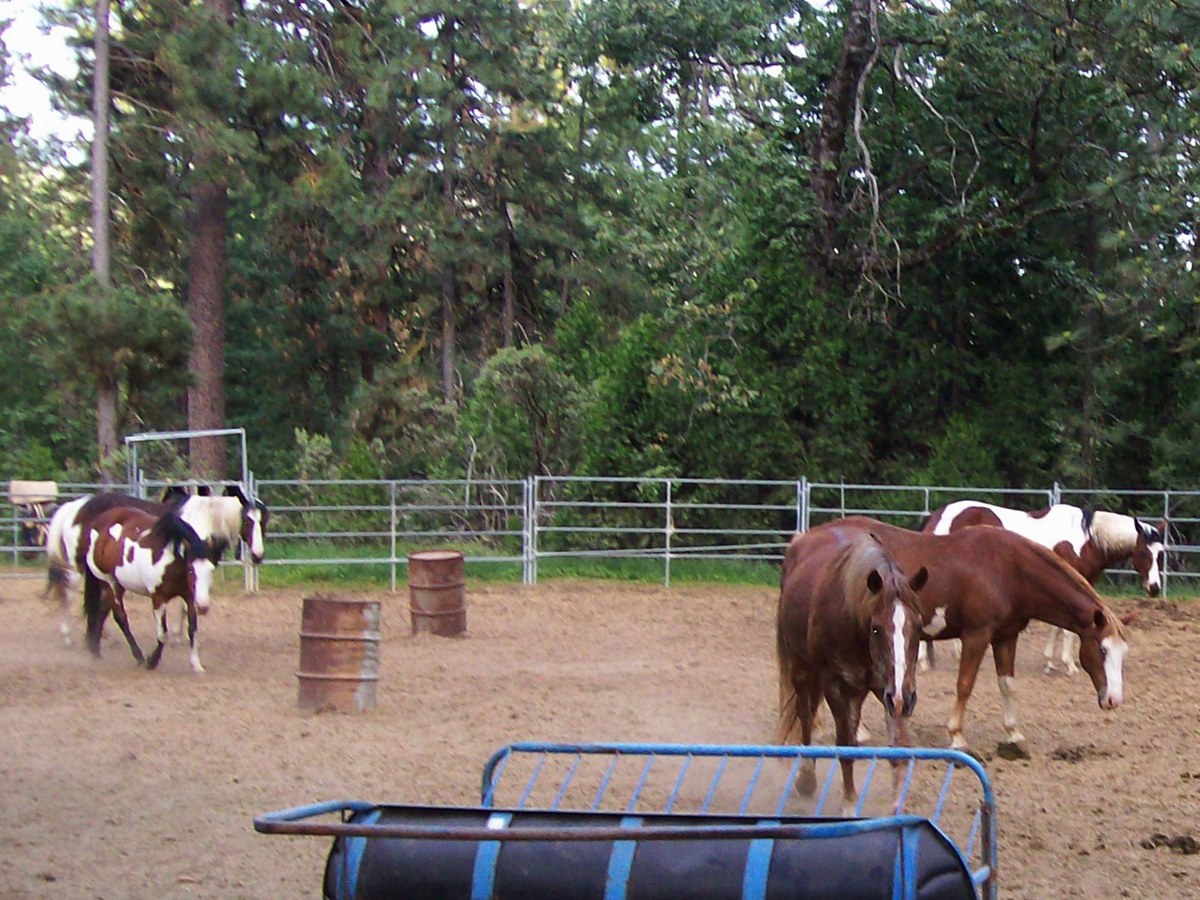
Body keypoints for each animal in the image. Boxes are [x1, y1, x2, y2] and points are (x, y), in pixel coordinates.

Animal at [45, 484, 269, 644]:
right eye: (247, 521)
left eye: (264, 521)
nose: (258, 555)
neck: (203, 518)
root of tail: (75, 507)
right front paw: (179, 635)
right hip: (79, 568)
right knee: (68, 593)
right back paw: (68, 635)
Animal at [80, 507, 217, 673]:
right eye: (191, 570)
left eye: (211, 570)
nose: (203, 607)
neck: (171, 560)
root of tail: (97, 522)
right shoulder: (158, 598)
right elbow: (163, 634)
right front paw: (152, 661)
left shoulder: (189, 597)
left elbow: (192, 629)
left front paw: (196, 664)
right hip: (109, 582)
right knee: (120, 617)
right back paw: (138, 656)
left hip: (117, 584)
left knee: (101, 612)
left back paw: (96, 652)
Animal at [776, 524, 928, 812]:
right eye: (876, 628)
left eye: (918, 627)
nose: (903, 698)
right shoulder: (835, 685)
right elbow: (845, 745)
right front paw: (848, 804)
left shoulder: (890, 689)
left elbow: (898, 746)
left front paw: (897, 807)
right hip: (803, 670)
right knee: (806, 715)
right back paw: (806, 778)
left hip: (858, 691)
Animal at [809, 516, 1131, 753]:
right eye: (1102, 649)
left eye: (1122, 653)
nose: (1114, 700)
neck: (1010, 569)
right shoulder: (977, 634)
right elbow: (965, 683)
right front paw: (956, 736)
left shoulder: (1006, 636)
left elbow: (1007, 684)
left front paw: (1013, 734)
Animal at [922, 501, 1164, 675]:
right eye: (1143, 552)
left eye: (1161, 553)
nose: (1154, 587)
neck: (1086, 540)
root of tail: (937, 517)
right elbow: (1066, 630)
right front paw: (1069, 664)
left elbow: (1059, 627)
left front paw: (1050, 661)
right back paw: (926, 661)